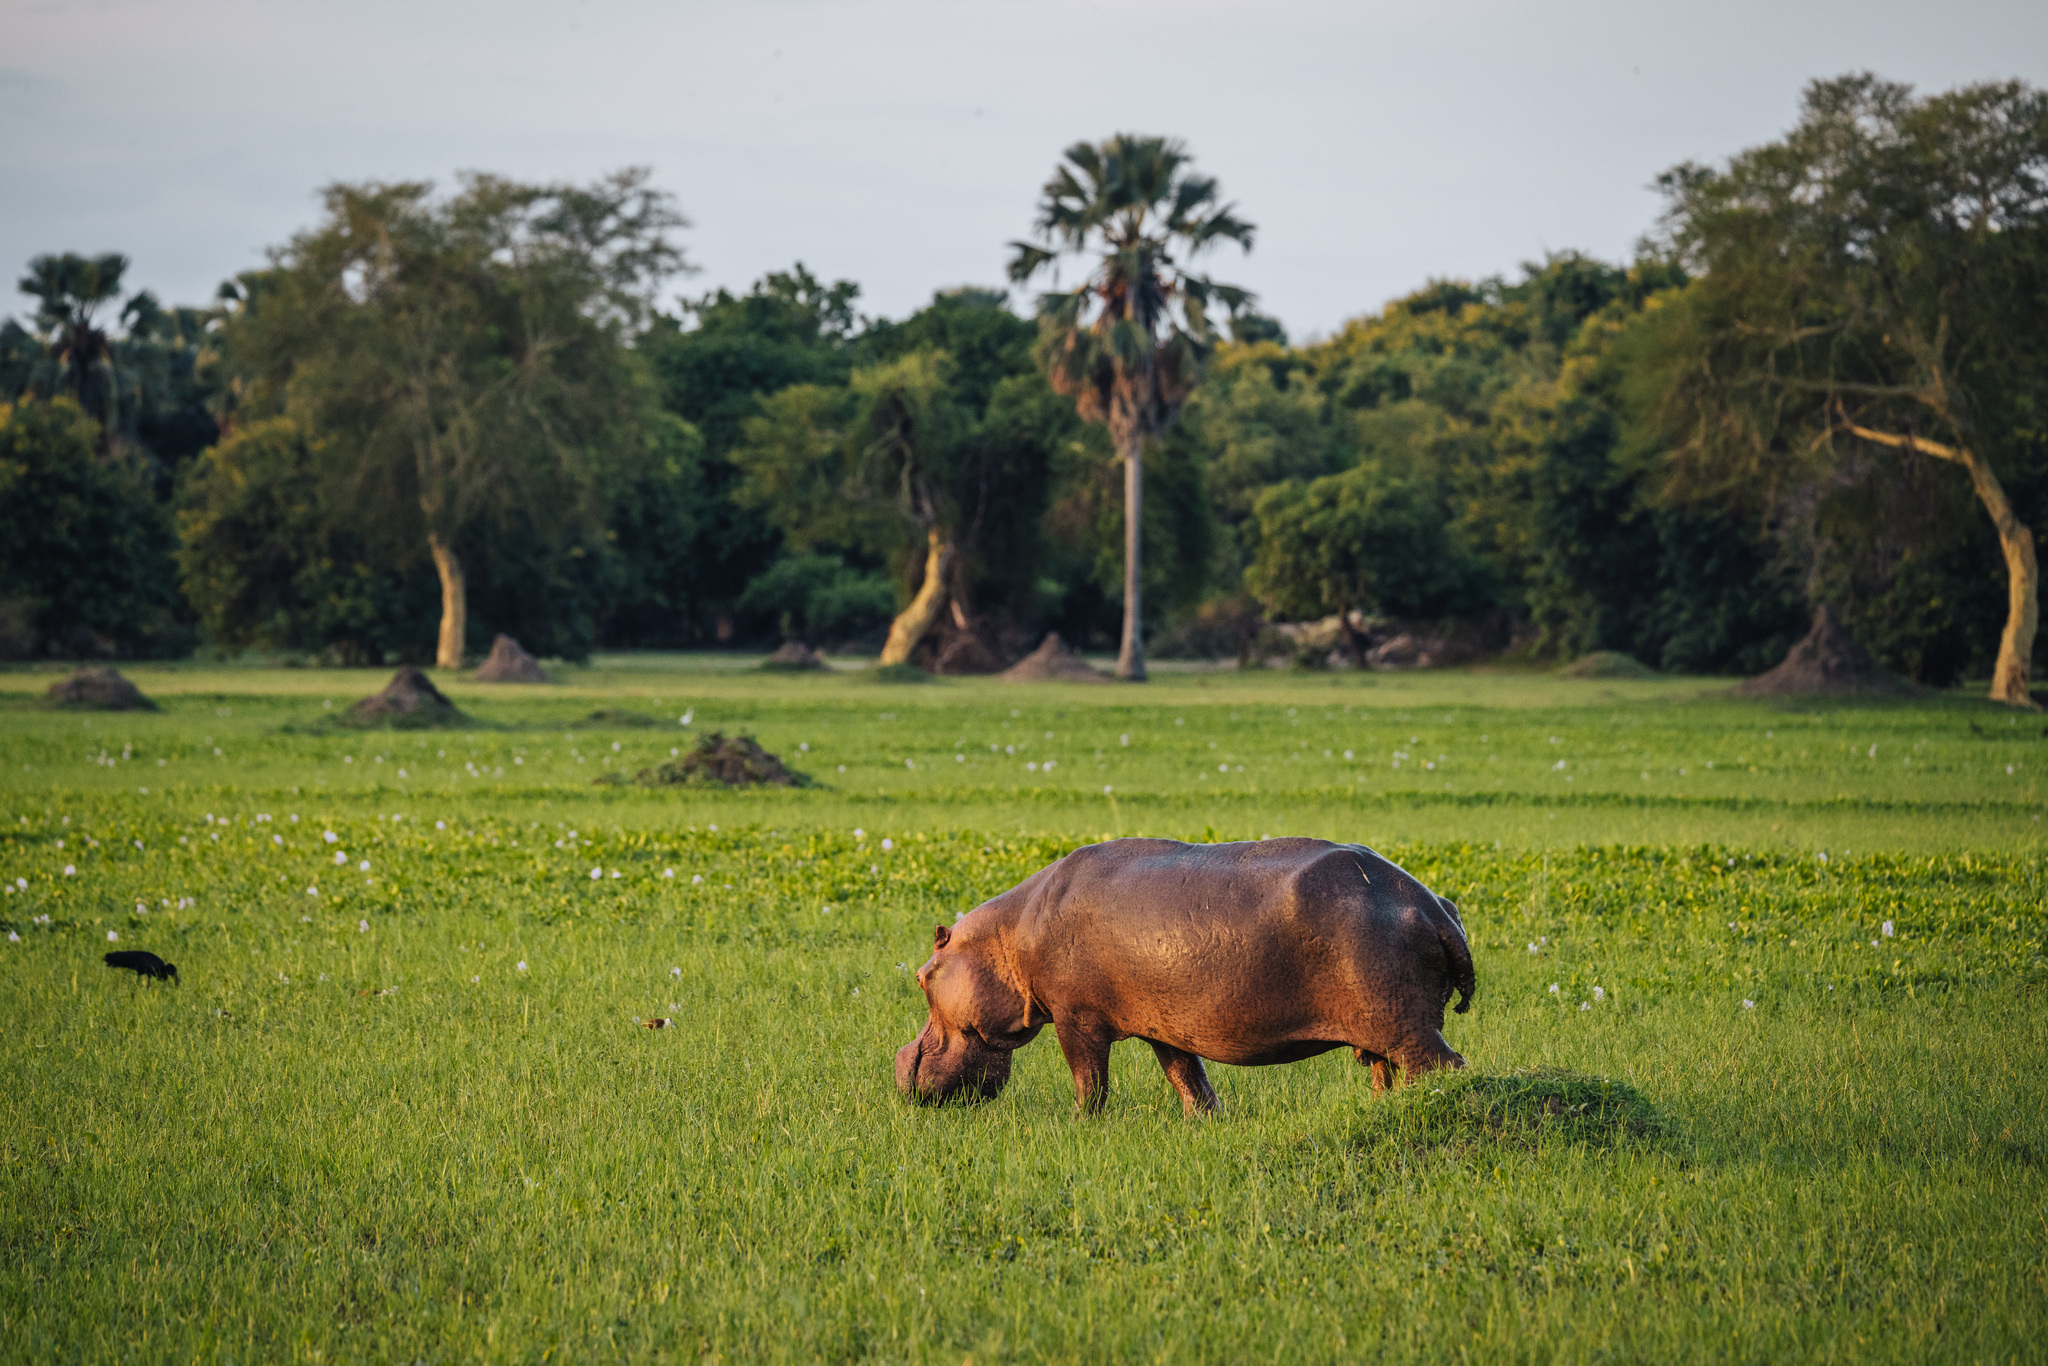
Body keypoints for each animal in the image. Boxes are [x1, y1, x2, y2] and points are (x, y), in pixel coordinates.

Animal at [894, 837, 1475, 1113]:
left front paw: (1080, 1127)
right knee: (1385, 1075)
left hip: (1406, 1025)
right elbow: (1186, 1077)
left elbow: (1090, 1083)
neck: (1008, 939)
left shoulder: (1075, 1019)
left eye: (922, 978)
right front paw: (1206, 1121)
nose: (899, 1063)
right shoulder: (1164, 1025)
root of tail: (1435, 908)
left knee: (1444, 1067)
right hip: (1382, 1031)